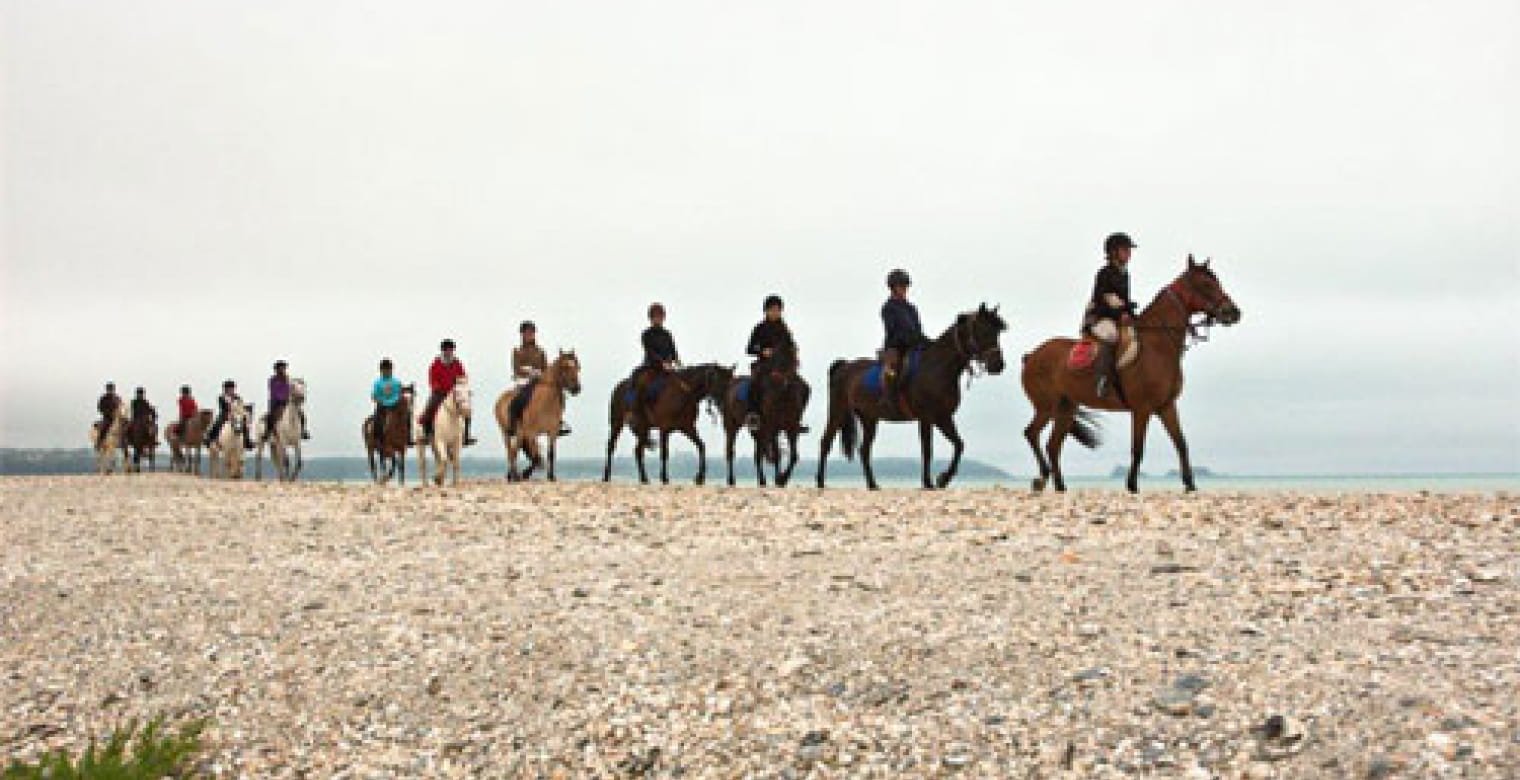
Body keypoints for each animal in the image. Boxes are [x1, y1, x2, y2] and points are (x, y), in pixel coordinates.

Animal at [492, 348, 580, 480]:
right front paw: (524, 473)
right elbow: (536, 456)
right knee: (510, 451)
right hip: (506, 432)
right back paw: (513, 475)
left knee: (515, 450)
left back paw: (513, 474)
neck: (546, 402)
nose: (577, 388)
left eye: (578, 367)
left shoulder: (552, 432)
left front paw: (551, 476)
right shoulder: (532, 433)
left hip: (520, 434)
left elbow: (550, 453)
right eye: (565, 367)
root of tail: (500, 399)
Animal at [601, 361, 732, 483]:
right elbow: (664, 453)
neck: (684, 393)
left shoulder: (688, 428)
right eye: (720, 382)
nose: (725, 403)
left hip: (643, 429)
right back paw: (606, 476)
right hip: (617, 423)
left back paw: (644, 478)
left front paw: (700, 477)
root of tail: (618, 387)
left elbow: (701, 446)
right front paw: (664, 478)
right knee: (611, 446)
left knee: (638, 451)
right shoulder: (664, 429)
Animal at [720, 342, 814, 483]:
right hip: (732, 425)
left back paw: (762, 481)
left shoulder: (791, 428)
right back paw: (731, 480)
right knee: (730, 451)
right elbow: (777, 454)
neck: (784, 396)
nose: (780, 381)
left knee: (757, 455)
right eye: (776, 360)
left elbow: (793, 456)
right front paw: (779, 478)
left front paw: (783, 479)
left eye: (794, 361)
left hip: (758, 431)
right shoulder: (773, 427)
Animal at [820, 302, 1009, 489]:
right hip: (837, 412)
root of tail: (844, 366)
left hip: (869, 419)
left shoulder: (943, 417)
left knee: (864, 450)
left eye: (997, 332)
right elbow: (927, 450)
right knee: (826, 441)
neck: (937, 368)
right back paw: (820, 481)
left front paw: (943, 479)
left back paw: (872, 484)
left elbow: (959, 444)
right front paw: (928, 482)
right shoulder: (926, 418)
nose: (998, 365)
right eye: (982, 330)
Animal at [1021, 255, 1246, 492]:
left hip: (1066, 408)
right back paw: (1042, 477)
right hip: (1046, 407)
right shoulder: (1142, 409)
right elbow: (1138, 448)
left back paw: (1060, 486)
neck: (1158, 346)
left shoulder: (1167, 406)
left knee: (1053, 445)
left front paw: (1190, 484)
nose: (1234, 312)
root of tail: (1032, 355)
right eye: (1205, 284)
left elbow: (1181, 442)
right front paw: (1132, 485)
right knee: (1031, 433)